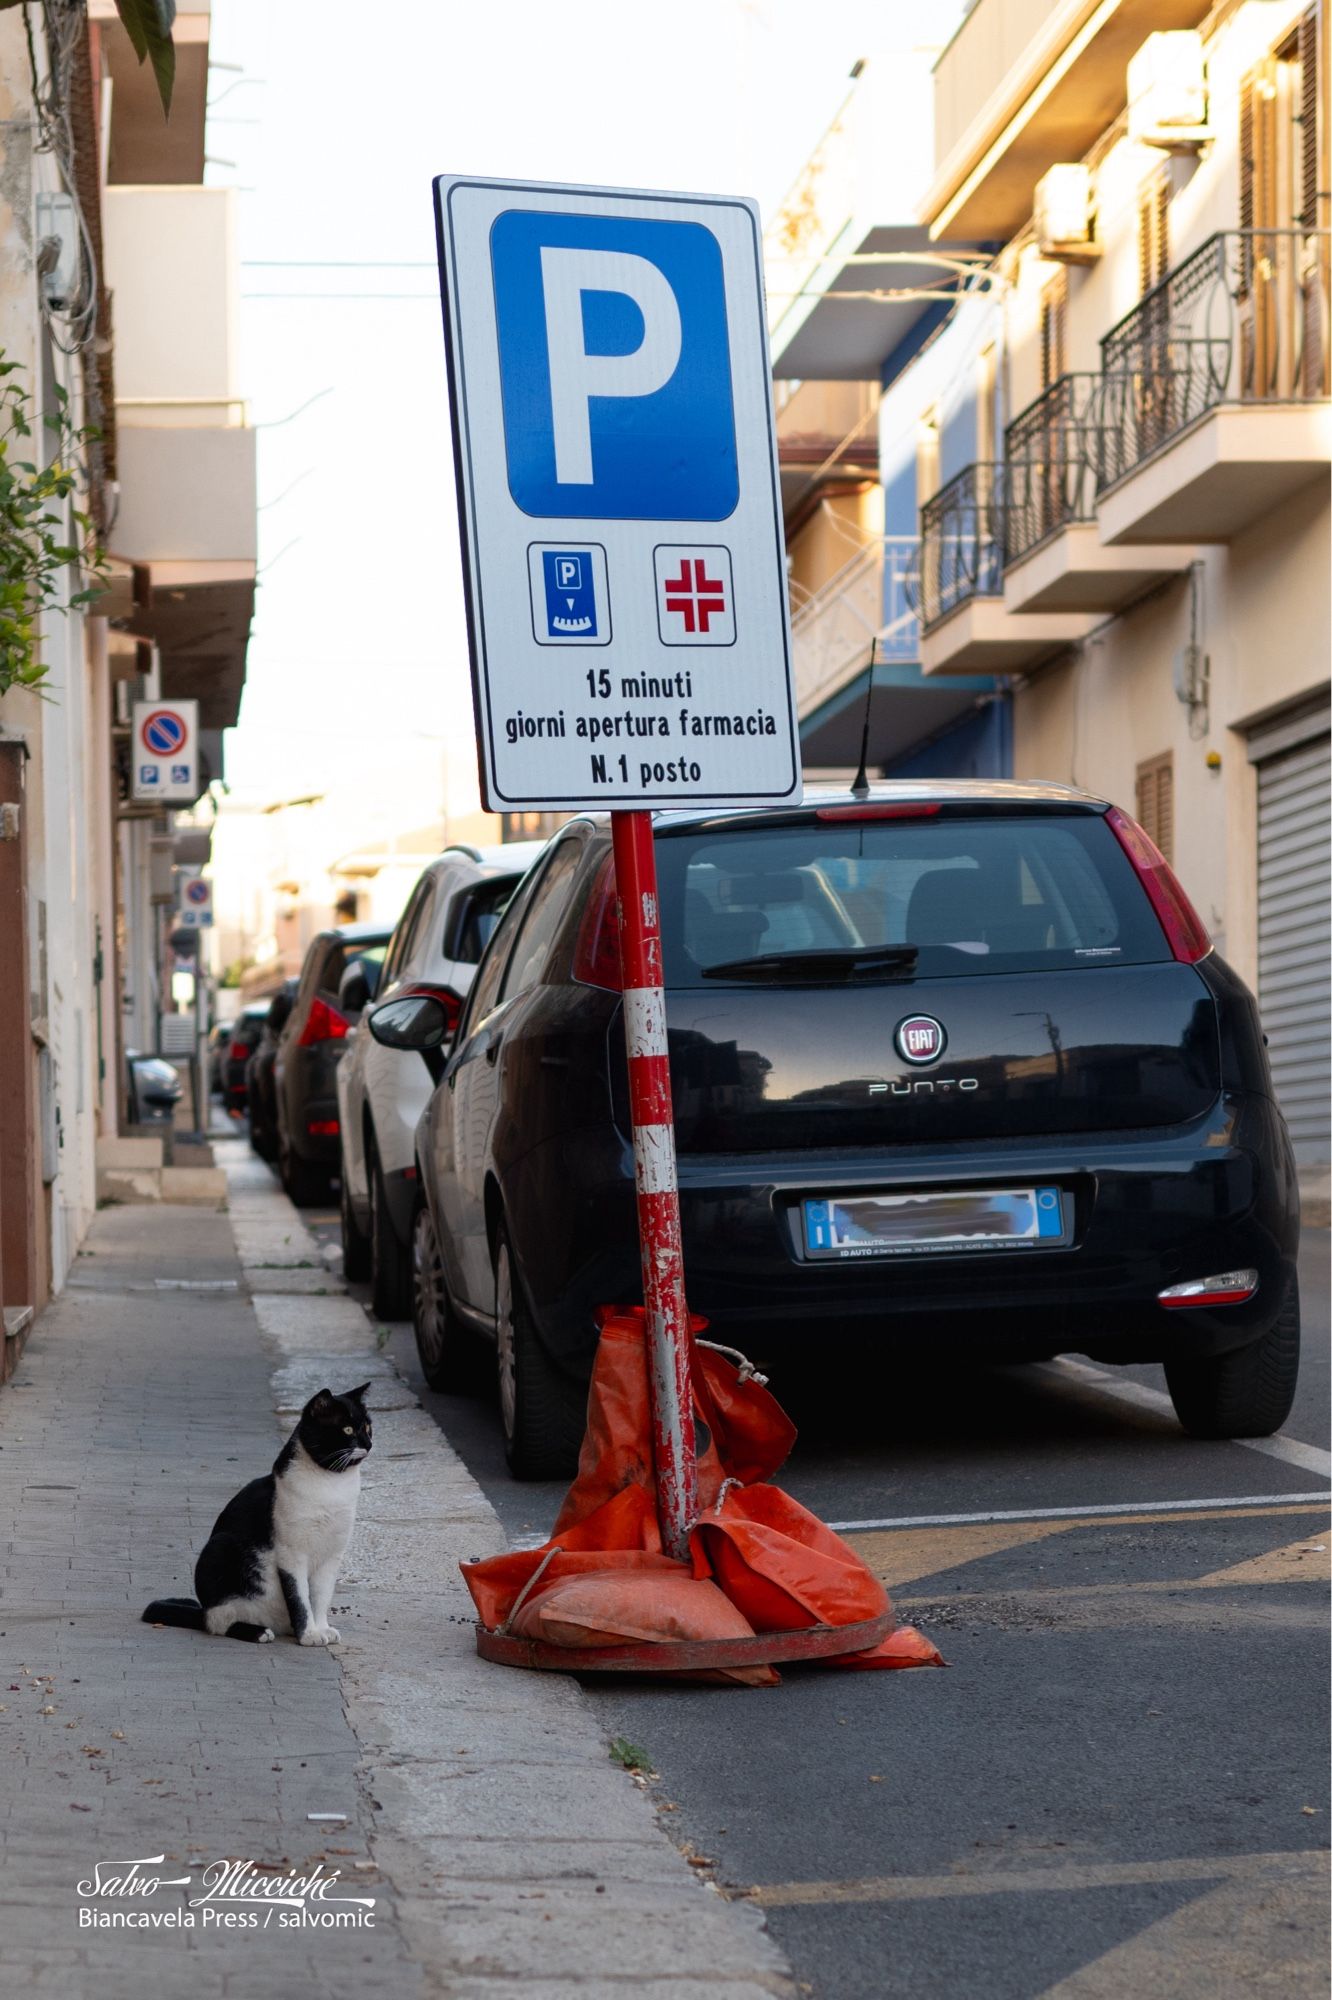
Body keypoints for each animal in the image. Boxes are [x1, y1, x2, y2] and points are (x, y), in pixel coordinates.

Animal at [142, 1384, 370, 1648]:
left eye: (368, 1427)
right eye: (347, 1429)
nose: (369, 1443)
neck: (332, 1486)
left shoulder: (332, 1555)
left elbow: (321, 1596)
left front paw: (321, 1628)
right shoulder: (291, 1554)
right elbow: (300, 1598)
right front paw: (309, 1635)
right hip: (219, 1548)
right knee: (218, 1622)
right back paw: (257, 1632)